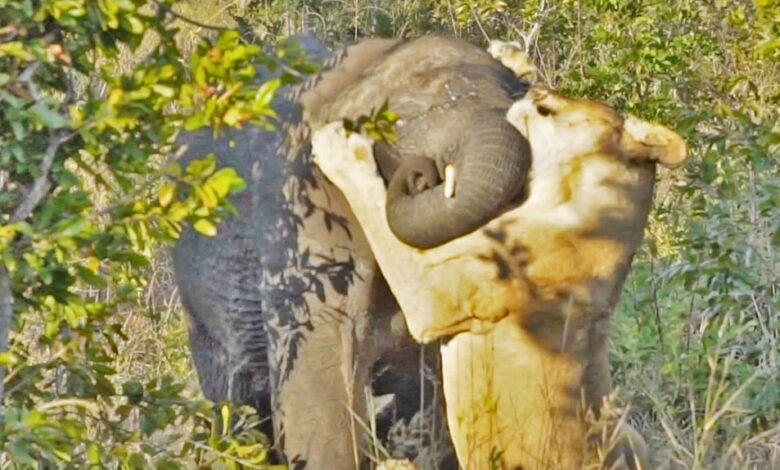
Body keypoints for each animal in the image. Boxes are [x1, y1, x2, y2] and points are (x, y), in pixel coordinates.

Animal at [311, 54, 686, 469]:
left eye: (552, 109)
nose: (535, 92)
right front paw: (512, 57)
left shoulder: (434, 295)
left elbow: (375, 208)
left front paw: (338, 145)